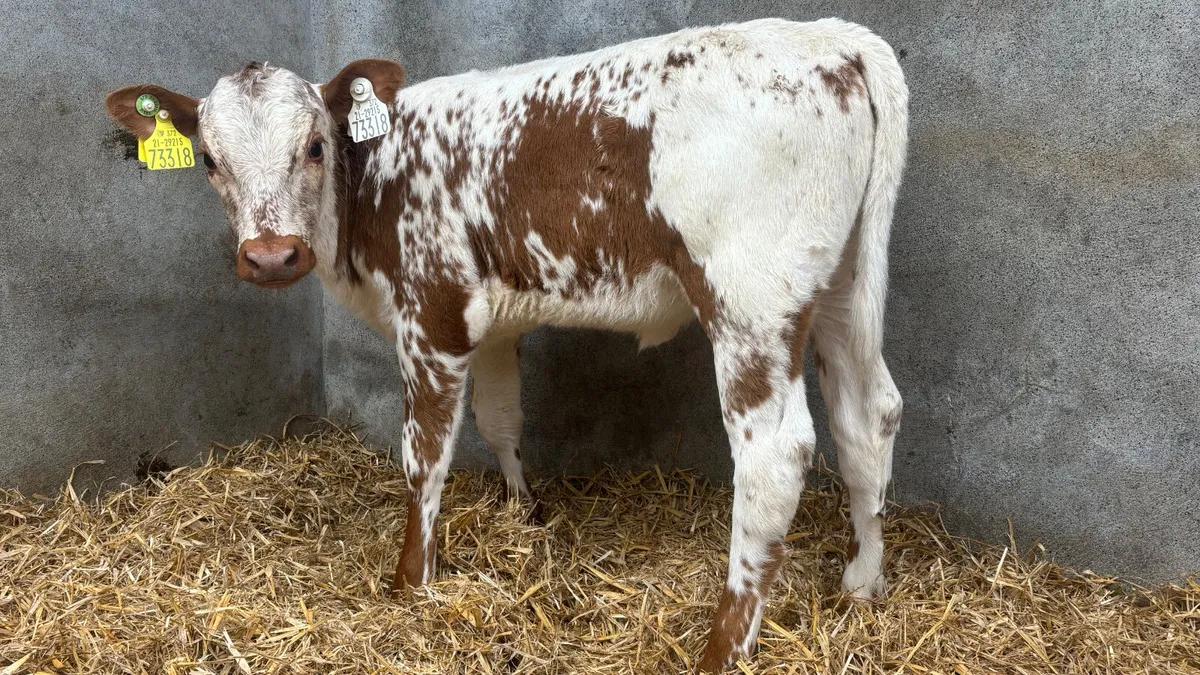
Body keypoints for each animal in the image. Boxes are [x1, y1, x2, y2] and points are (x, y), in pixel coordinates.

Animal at [106, 17, 907, 671]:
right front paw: (526, 514)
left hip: (750, 299)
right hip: (843, 286)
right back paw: (861, 584)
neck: (373, 185)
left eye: (312, 146)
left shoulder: (431, 315)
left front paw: (411, 580)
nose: (272, 256)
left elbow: (425, 452)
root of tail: (832, 38)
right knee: (870, 415)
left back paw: (721, 650)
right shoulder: (490, 325)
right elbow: (501, 420)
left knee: (775, 454)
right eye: (210, 160)